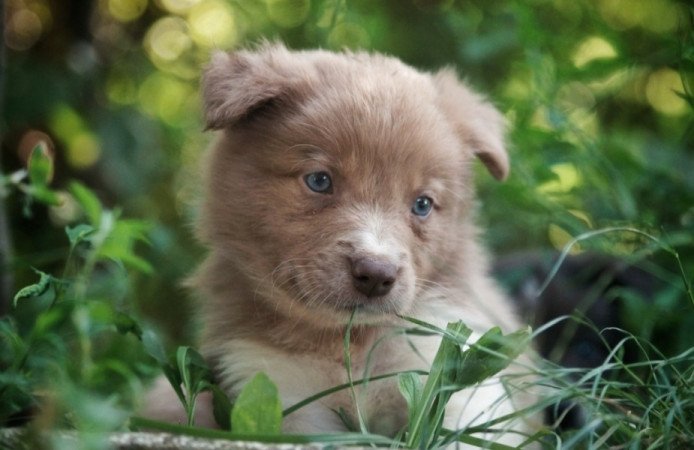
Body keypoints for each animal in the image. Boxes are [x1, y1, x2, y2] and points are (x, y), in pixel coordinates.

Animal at [148, 44, 540, 444]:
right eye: (319, 181)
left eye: (422, 204)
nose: (376, 275)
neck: (347, 341)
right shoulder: (280, 389)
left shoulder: (447, 372)